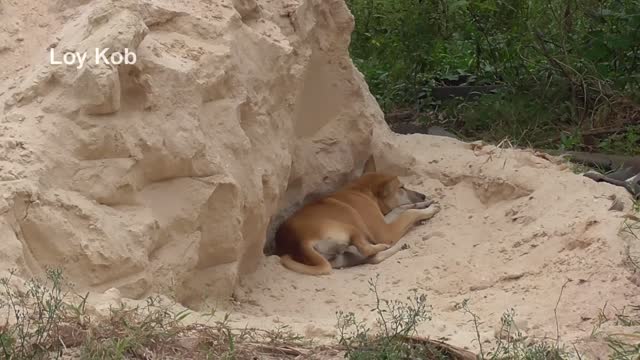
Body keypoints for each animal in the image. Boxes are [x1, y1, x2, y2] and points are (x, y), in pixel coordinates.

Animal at [276, 158, 440, 276]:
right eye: (401, 188)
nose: (423, 195)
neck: (362, 190)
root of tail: (301, 242)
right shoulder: (385, 232)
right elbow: (409, 213)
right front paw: (429, 209)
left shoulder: (382, 221)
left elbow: (401, 209)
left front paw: (424, 203)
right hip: (351, 229)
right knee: (369, 250)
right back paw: (385, 246)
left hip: (345, 255)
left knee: (374, 258)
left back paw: (398, 247)